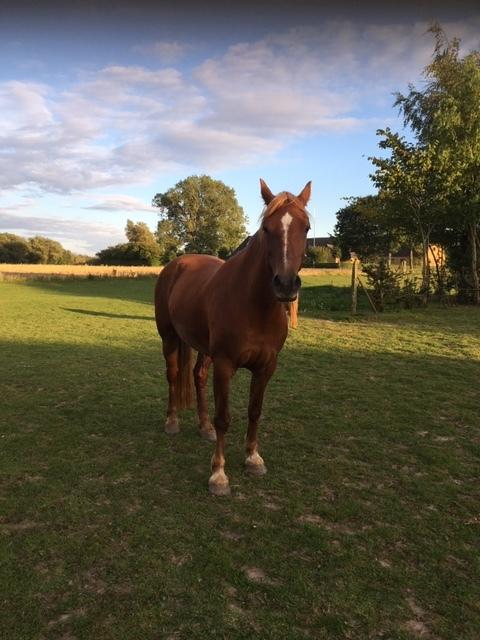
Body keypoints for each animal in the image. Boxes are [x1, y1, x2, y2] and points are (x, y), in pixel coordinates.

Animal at [155, 179, 312, 496]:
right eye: (266, 228)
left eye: (306, 228)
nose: (286, 284)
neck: (255, 306)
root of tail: (175, 265)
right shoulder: (225, 365)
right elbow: (224, 418)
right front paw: (218, 475)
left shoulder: (266, 367)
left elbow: (254, 411)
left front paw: (253, 459)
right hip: (169, 338)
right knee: (173, 375)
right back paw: (172, 421)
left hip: (203, 349)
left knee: (198, 376)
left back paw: (203, 427)